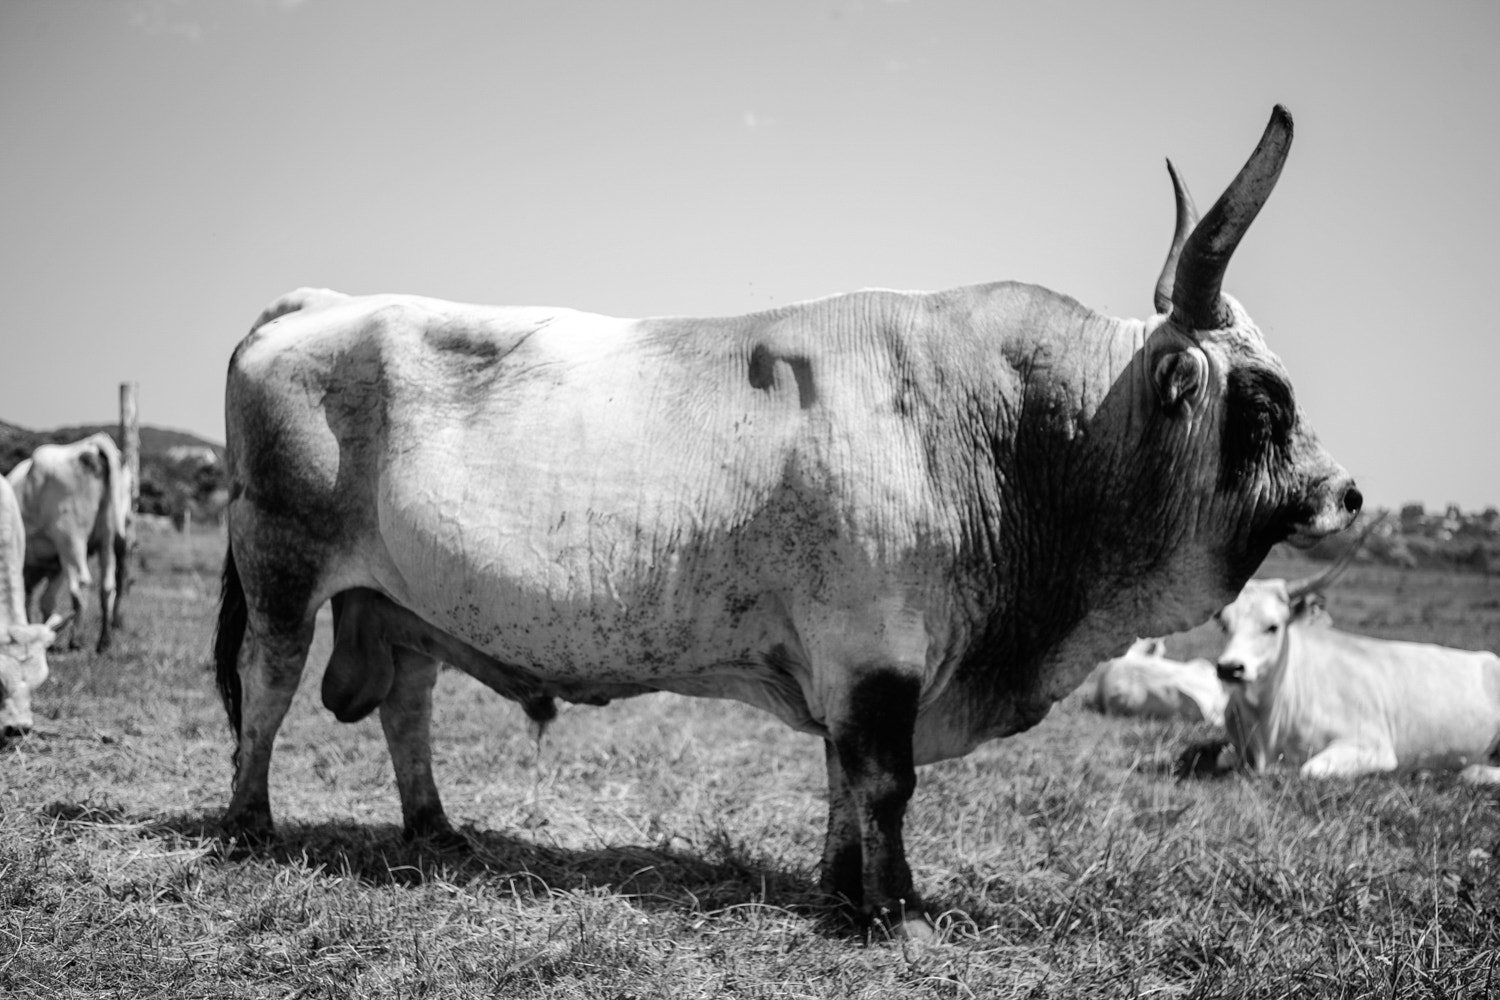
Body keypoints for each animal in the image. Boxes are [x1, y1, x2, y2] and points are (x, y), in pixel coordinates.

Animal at [7, 433, 134, 653]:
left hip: (71, 538)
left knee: (81, 583)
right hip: (108, 538)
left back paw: (77, 640)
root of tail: (93, 444)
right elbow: (45, 599)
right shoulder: (56, 564)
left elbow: (37, 598)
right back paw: (104, 641)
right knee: (108, 586)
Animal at [1214, 567, 1500, 785]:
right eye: (1224, 625)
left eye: (1272, 627)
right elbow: (1223, 758)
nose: (1229, 668)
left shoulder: (1374, 747)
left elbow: (1310, 769)